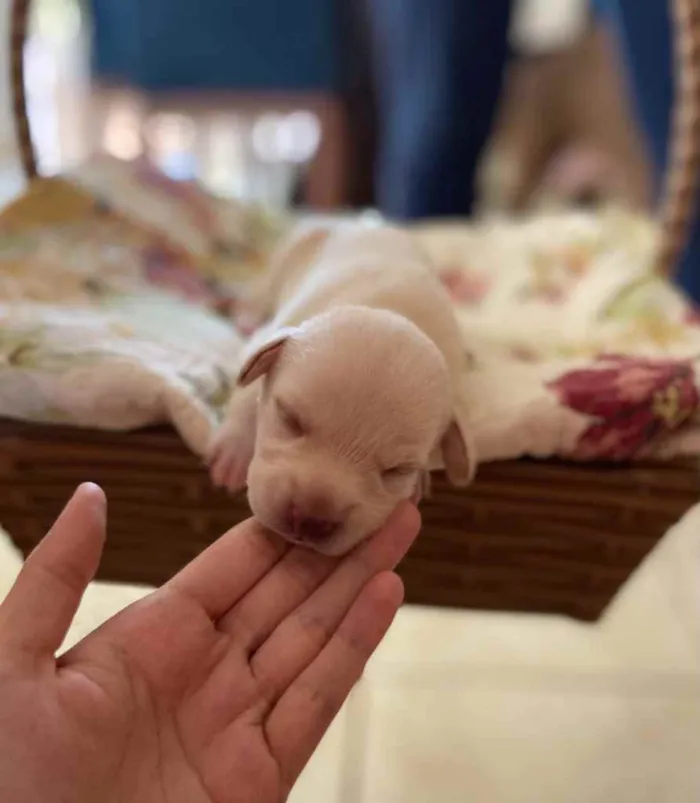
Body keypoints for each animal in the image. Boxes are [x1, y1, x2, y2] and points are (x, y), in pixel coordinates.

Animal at [205, 223, 474, 556]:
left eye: (398, 470)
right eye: (290, 419)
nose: (309, 517)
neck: (392, 309)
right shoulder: (275, 332)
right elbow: (247, 392)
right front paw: (233, 450)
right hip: (286, 257)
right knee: (259, 291)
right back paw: (243, 312)